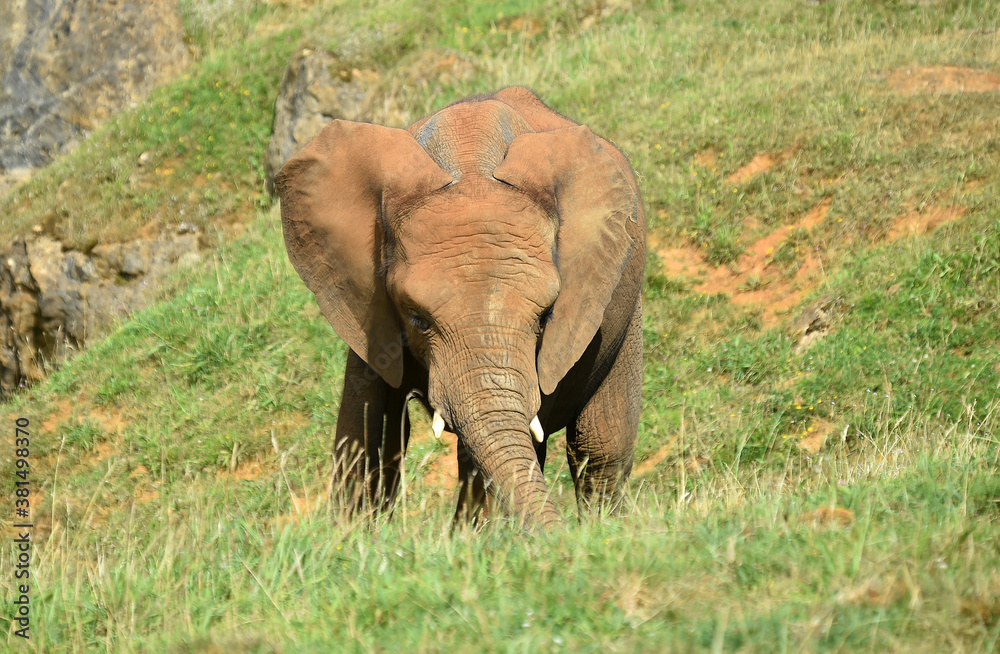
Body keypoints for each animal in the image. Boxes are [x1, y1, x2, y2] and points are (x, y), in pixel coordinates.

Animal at [275, 87, 645, 529]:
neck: (469, 161)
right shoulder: (366, 303)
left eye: (545, 318)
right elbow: (364, 422)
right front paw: (351, 534)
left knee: (600, 448)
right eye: (417, 318)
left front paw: (473, 538)